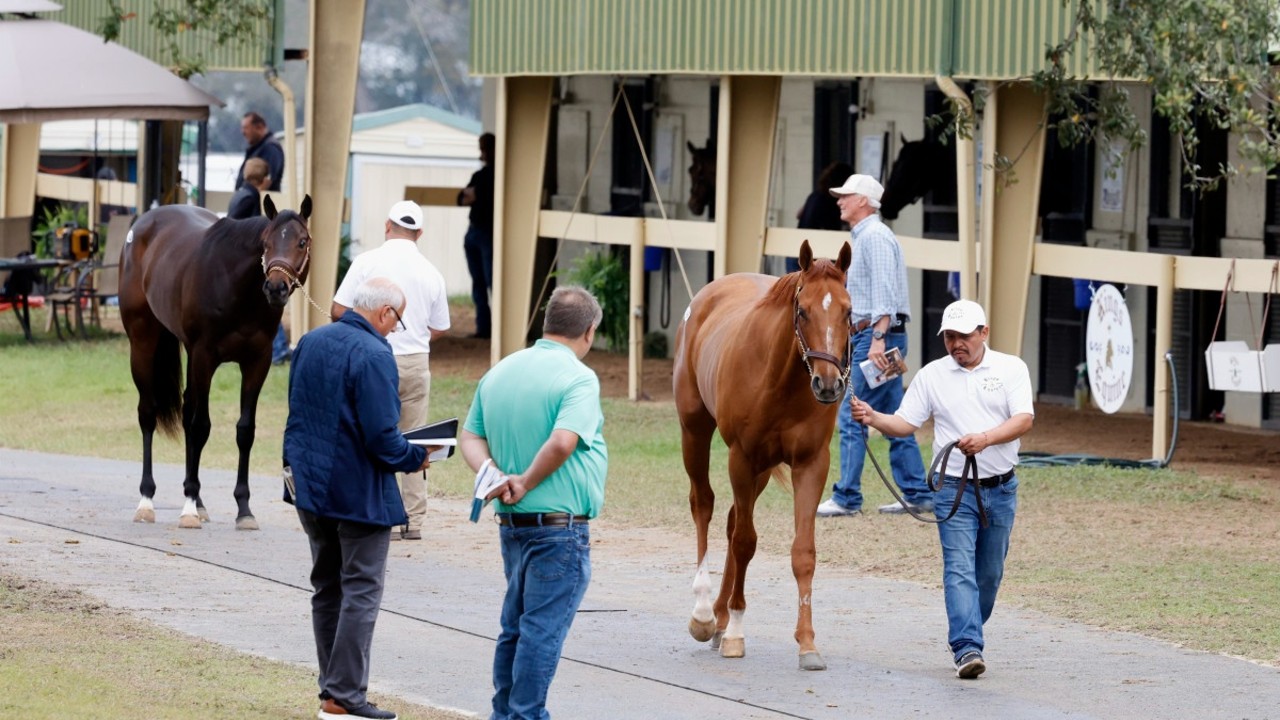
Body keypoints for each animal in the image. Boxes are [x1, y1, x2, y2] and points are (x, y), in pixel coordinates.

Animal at [119, 193, 313, 530]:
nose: (276, 288)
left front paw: (243, 509)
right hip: (142, 342)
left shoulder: (257, 363)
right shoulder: (204, 357)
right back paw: (147, 500)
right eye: (266, 243)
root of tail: (143, 223)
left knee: (185, 412)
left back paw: (198, 501)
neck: (237, 286)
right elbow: (201, 427)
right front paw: (187, 509)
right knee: (148, 414)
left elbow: (244, 431)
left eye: (302, 242)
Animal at [675, 238, 855, 671]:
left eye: (848, 311)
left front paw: (807, 643)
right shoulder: (742, 457)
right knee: (704, 505)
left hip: (758, 469)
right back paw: (705, 614)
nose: (828, 385)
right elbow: (745, 543)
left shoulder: (811, 464)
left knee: (730, 519)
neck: (782, 380)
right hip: (695, 432)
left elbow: (802, 552)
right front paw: (736, 633)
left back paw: (720, 617)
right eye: (803, 310)